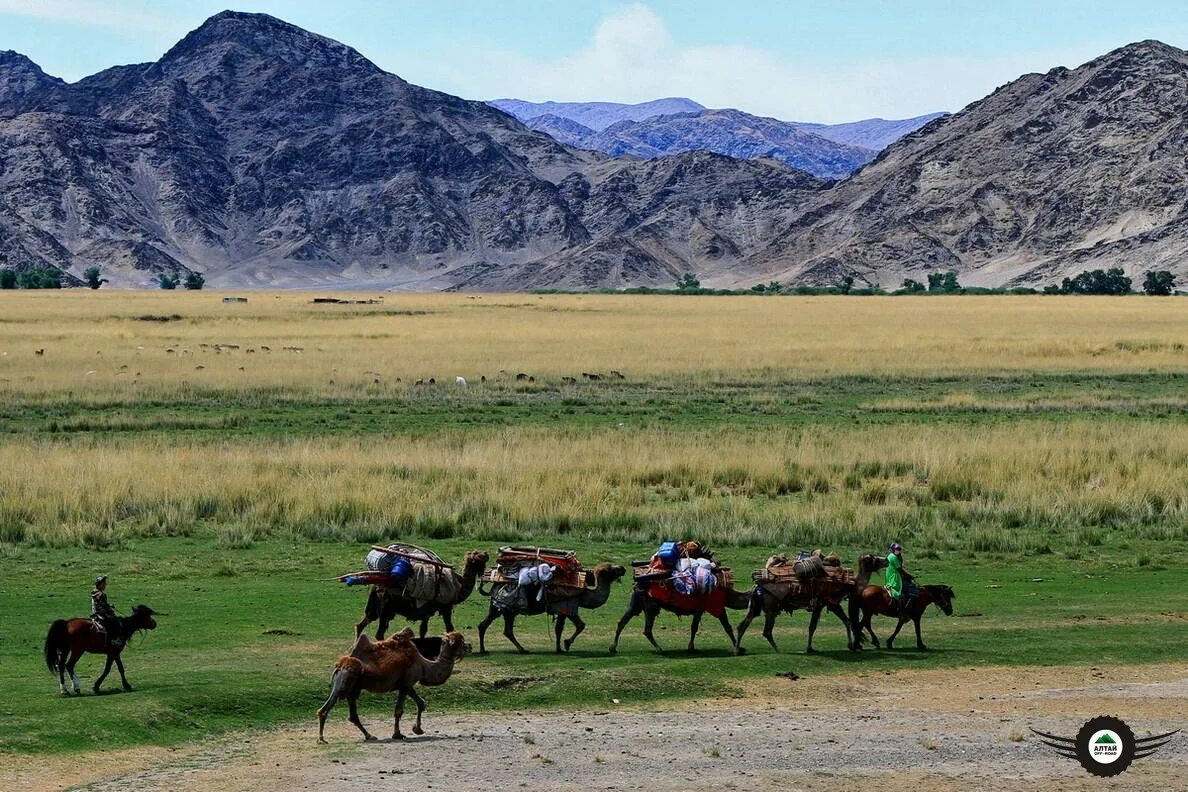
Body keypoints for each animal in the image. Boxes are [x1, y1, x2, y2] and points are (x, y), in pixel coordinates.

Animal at [318, 626, 470, 740]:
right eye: (460, 642)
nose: (469, 647)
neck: (424, 665)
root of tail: (340, 665)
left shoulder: (406, 684)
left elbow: (421, 703)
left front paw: (418, 729)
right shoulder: (407, 683)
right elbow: (399, 711)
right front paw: (398, 734)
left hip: (352, 686)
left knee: (346, 713)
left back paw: (368, 736)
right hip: (346, 680)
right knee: (334, 706)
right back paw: (322, 738)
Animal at [351, 550, 487, 636]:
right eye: (477, 554)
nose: (486, 553)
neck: (458, 587)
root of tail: (376, 587)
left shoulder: (426, 611)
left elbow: (423, 630)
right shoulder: (445, 607)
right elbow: (450, 628)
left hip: (374, 607)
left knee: (362, 624)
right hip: (385, 609)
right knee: (379, 632)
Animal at [475, 560, 632, 655]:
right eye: (611, 569)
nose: (623, 568)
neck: (583, 593)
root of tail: (494, 585)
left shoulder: (565, 609)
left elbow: (562, 628)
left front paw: (561, 647)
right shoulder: (568, 606)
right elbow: (576, 626)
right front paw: (565, 645)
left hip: (505, 610)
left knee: (495, 627)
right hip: (503, 607)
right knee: (494, 626)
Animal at [731, 555, 893, 655]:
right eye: (872, 558)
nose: (886, 559)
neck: (848, 584)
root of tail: (757, 586)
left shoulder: (829, 603)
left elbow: (846, 621)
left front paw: (851, 645)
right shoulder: (824, 602)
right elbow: (813, 626)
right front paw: (809, 648)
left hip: (756, 605)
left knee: (743, 625)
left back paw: (737, 650)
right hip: (771, 606)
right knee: (767, 631)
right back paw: (778, 650)